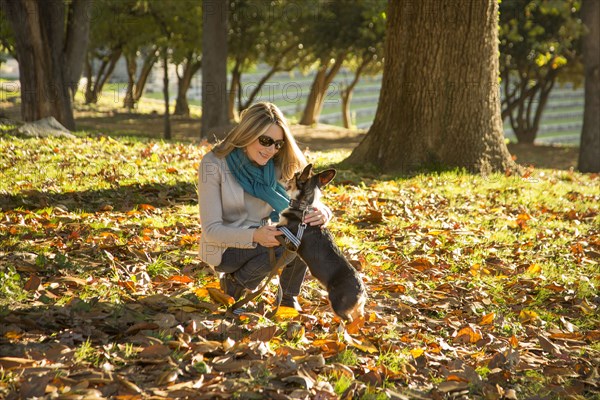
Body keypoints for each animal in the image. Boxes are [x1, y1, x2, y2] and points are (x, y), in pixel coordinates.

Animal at [276, 164, 366, 320]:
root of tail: (361, 292)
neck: (304, 207)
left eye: (293, 176)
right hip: (356, 309)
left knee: (346, 320)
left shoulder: (284, 232)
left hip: (337, 303)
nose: (282, 177)